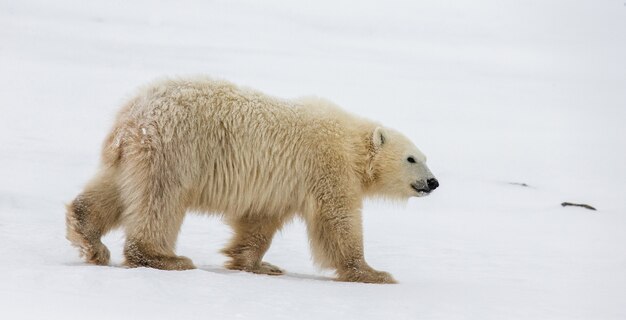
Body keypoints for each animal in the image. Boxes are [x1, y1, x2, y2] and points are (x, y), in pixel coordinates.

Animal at [66, 77, 436, 282]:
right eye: (412, 158)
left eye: (425, 157)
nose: (433, 183)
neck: (351, 143)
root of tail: (131, 114)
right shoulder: (327, 166)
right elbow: (337, 221)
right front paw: (374, 273)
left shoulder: (279, 185)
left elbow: (260, 221)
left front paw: (257, 264)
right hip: (176, 148)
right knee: (160, 200)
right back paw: (165, 258)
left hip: (135, 154)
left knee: (114, 190)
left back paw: (89, 237)